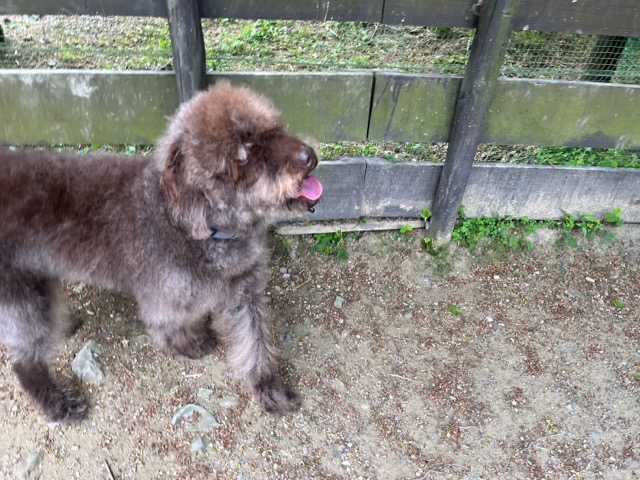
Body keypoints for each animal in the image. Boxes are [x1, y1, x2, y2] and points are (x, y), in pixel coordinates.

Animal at [0, 81, 323, 422]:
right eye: (244, 155)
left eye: (275, 128)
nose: (309, 156)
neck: (199, 228)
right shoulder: (164, 298)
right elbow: (166, 327)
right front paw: (190, 344)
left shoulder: (244, 290)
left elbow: (255, 342)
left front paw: (269, 388)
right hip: (20, 295)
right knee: (23, 359)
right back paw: (57, 403)